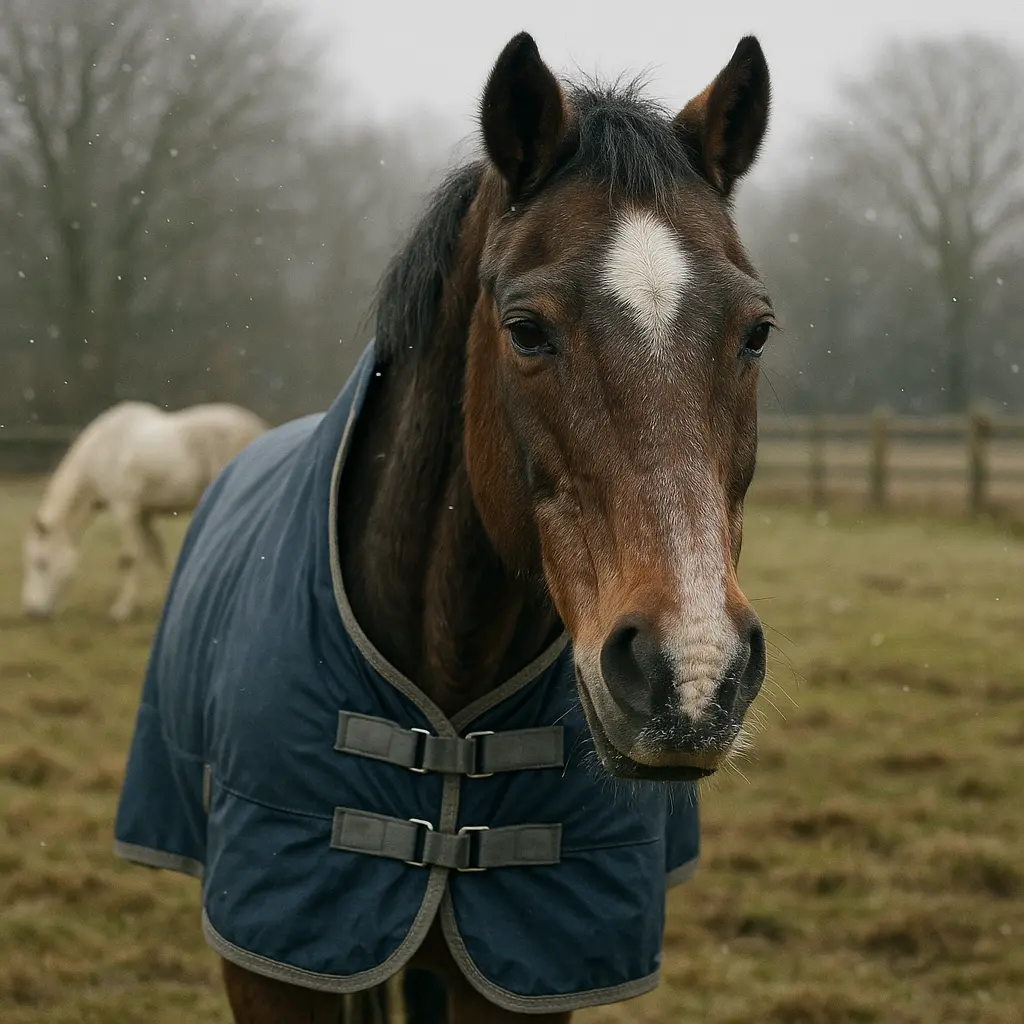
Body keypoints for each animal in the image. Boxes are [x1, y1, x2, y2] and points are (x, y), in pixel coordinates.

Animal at [21, 400, 267, 621]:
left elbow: (128, 558)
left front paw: (121, 611)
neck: (103, 451)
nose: (32, 611)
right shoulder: (143, 516)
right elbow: (157, 554)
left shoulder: (124, 509)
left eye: (41, 563)